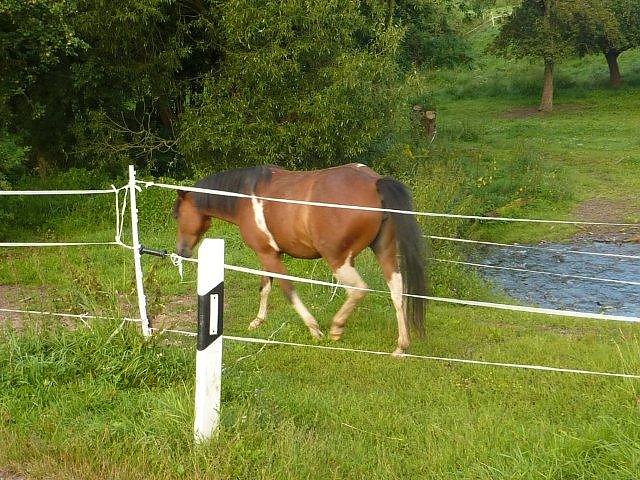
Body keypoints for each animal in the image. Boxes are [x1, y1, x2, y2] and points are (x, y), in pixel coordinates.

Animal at [173, 163, 427, 355]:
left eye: (177, 214)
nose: (182, 251)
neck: (244, 197)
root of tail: (374, 182)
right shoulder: (269, 254)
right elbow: (265, 286)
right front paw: (258, 321)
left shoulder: (268, 255)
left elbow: (288, 290)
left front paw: (314, 329)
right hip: (383, 250)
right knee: (397, 290)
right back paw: (401, 346)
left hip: (338, 259)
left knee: (359, 289)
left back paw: (336, 327)